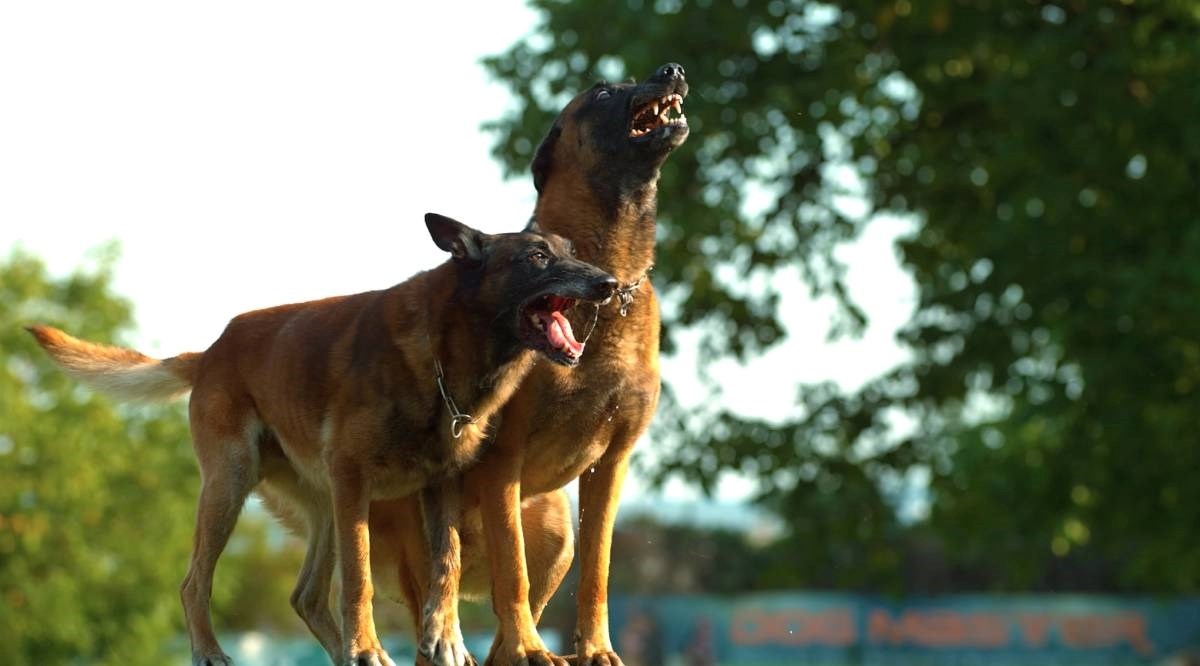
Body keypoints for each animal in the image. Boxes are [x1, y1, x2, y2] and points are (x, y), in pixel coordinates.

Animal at [25, 214, 619, 666]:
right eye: (537, 257)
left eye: (570, 251)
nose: (610, 285)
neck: (444, 351)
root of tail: (214, 348)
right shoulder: (353, 478)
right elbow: (360, 579)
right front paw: (367, 647)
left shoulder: (439, 487)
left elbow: (445, 564)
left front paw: (445, 639)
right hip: (234, 485)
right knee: (195, 582)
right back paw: (212, 652)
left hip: (325, 505)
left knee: (306, 597)